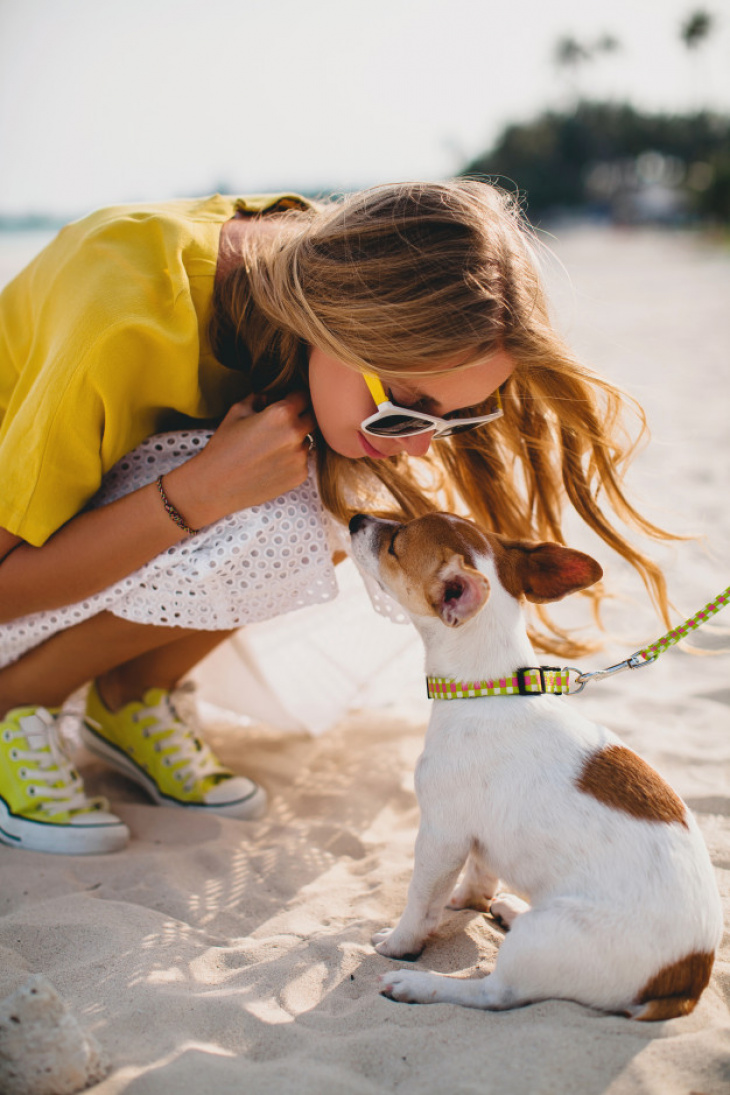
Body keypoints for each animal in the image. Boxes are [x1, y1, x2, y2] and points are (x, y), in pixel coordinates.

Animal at [350, 510, 726, 1016]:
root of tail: (685, 985)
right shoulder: (473, 838)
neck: (488, 689)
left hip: (542, 938)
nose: (355, 518)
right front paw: (469, 900)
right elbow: (479, 873)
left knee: (494, 993)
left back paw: (422, 985)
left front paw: (398, 943)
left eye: (394, 545)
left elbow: (420, 902)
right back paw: (508, 908)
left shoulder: (440, 836)